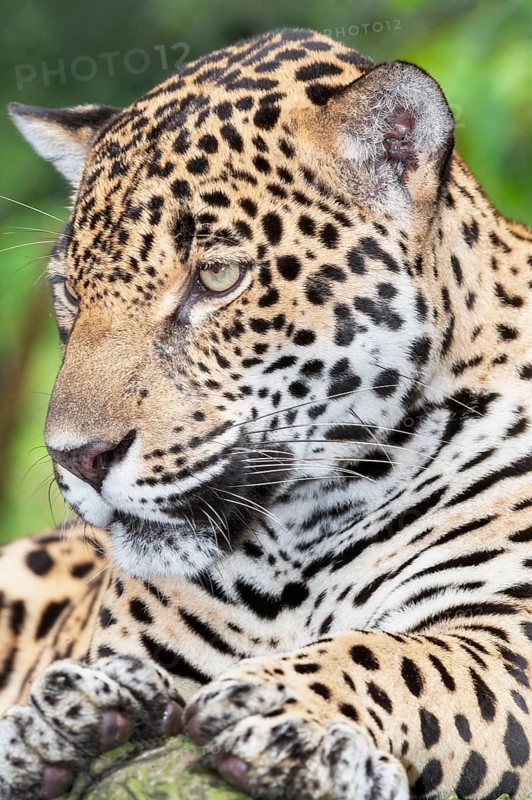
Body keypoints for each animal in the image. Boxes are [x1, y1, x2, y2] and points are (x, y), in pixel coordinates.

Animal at [1, 27, 531, 800]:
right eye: (70, 290)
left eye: (217, 278)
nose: (77, 458)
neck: (298, 544)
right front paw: (63, 713)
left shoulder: (509, 629)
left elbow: (400, 657)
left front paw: (274, 708)